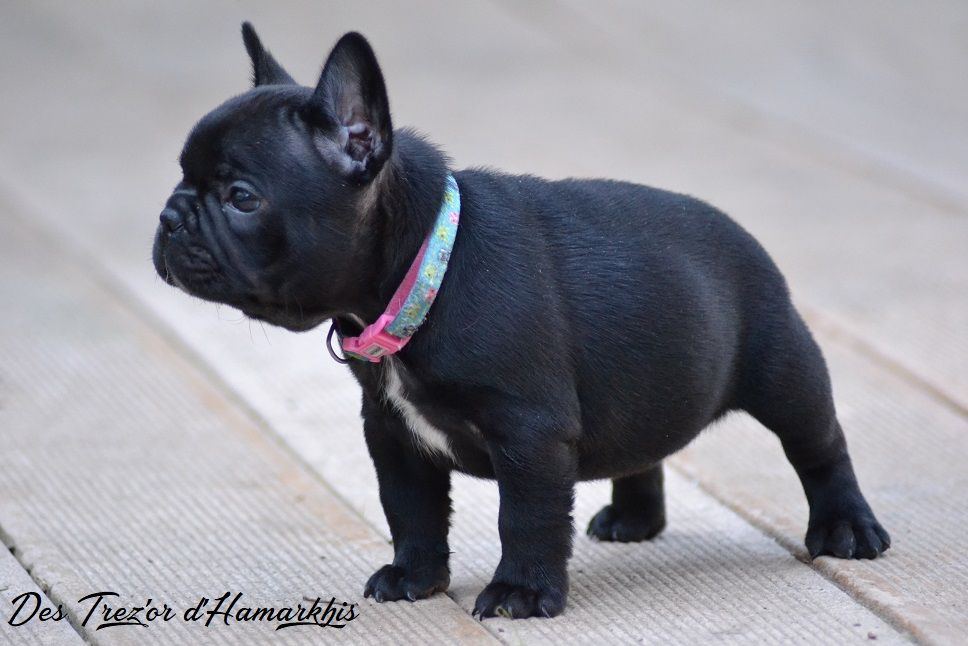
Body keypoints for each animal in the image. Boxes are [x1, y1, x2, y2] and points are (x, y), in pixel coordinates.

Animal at [153, 26, 892, 624]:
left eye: (241, 197)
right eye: (181, 175)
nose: (170, 215)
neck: (426, 267)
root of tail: (743, 236)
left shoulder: (529, 435)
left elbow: (526, 518)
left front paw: (523, 593)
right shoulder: (392, 433)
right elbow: (410, 509)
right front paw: (415, 577)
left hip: (783, 368)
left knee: (819, 444)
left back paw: (847, 529)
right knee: (646, 446)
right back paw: (633, 518)